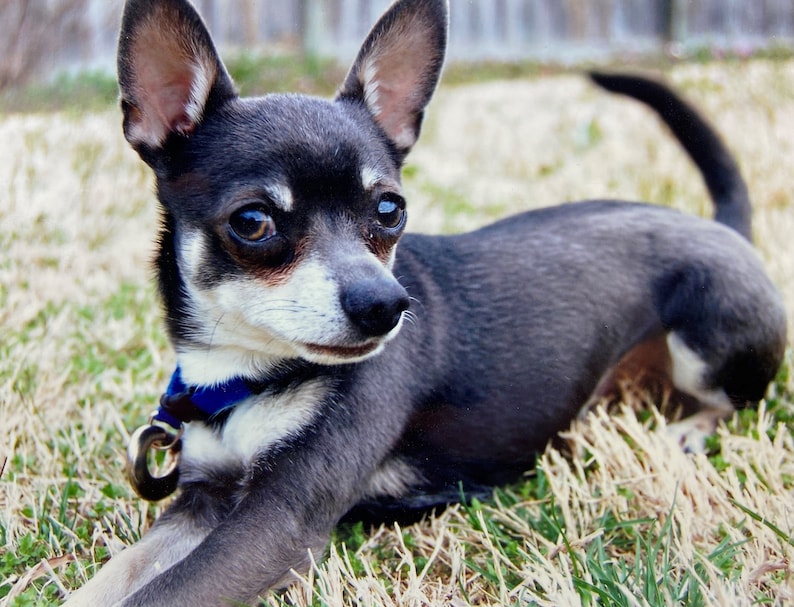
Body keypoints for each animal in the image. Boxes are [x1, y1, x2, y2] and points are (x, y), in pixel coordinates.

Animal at [65, 0, 784, 604]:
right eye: (252, 221)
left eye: (390, 210)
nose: (386, 304)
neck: (250, 375)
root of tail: (722, 227)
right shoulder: (203, 500)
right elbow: (112, 579)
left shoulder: (275, 524)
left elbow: (165, 594)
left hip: (712, 332)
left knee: (736, 400)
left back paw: (687, 430)